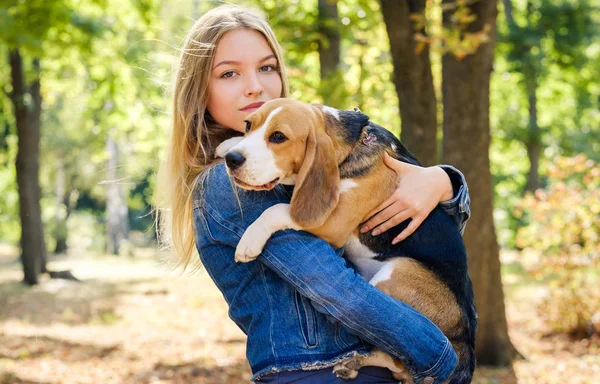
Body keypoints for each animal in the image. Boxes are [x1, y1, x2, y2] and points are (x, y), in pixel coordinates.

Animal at [218, 97, 476, 382]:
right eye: (248, 125)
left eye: (278, 137)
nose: (233, 160)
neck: (352, 144)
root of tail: (465, 341)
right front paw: (227, 144)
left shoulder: (333, 223)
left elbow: (277, 210)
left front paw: (249, 240)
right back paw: (352, 363)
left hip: (397, 272)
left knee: (398, 358)